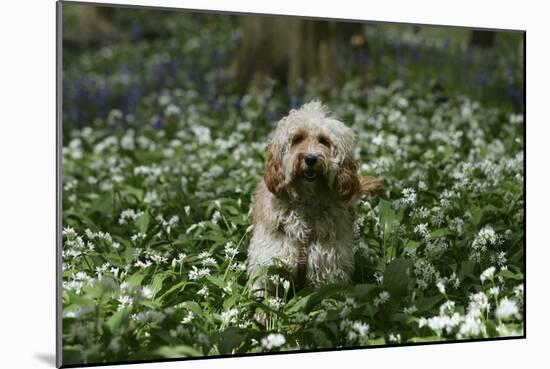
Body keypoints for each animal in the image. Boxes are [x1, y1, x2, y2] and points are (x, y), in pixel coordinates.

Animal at [249, 100, 384, 296]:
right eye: (297, 139)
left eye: (323, 140)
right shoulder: (270, 259)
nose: (311, 158)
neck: (308, 201)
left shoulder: (328, 265)